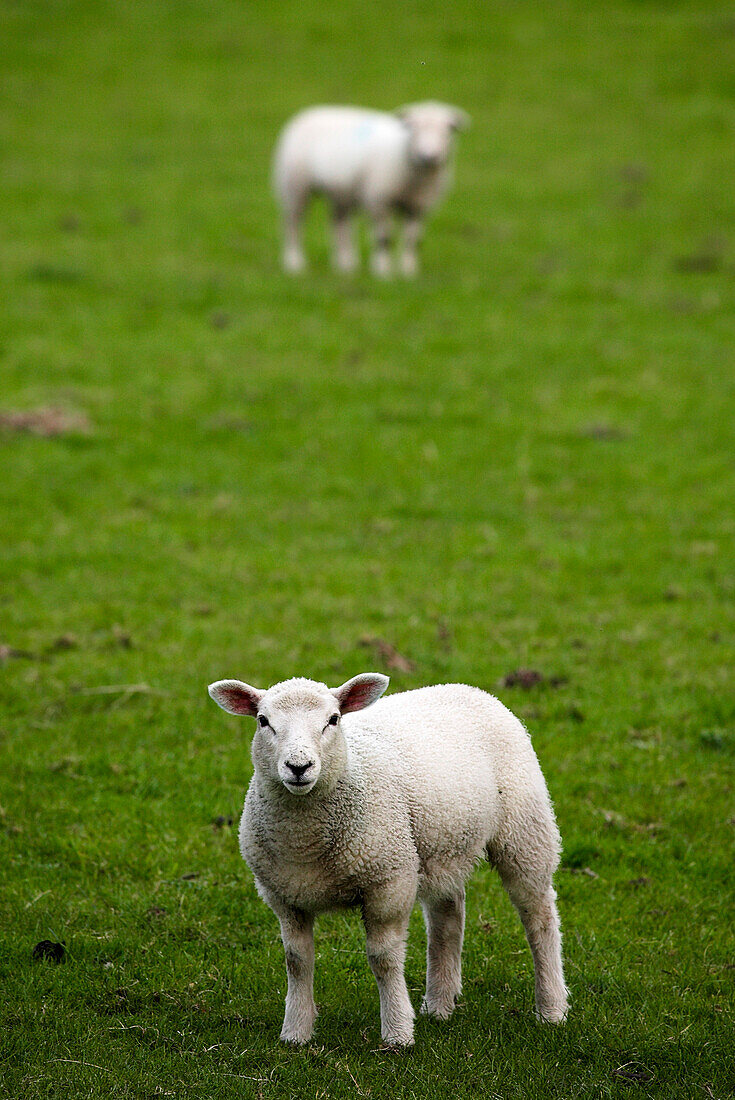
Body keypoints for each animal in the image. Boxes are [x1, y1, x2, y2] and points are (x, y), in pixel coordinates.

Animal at [206, 668, 567, 1047]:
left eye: (333, 720)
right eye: (263, 721)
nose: (299, 766)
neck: (306, 843)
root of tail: (468, 688)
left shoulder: (388, 881)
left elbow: (383, 959)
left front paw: (397, 1032)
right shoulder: (284, 896)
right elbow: (297, 961)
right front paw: (295, 1032)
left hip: (524, 831)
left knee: (539, 916)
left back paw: (551, 1008)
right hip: (440, 844)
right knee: (447, 916)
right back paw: (440, 1004)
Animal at [271, 102, 470, 277]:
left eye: (449, 129)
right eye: (413, 127)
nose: (428, 156)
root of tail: (307, 113)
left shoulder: (419, 207)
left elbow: (412, 241)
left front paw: (408, 272)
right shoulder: (379, 200)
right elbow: (383, 239)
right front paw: (383, 272)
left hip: (341, 192)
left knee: (339, 225)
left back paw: (345, 265)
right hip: (294, 185)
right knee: (293, 224)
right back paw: (294, 263)